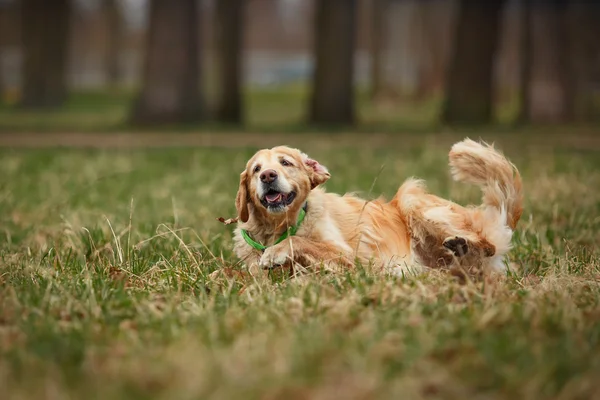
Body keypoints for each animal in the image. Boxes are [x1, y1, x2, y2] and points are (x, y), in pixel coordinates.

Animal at [232, 140, 524, 278]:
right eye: (256, 169)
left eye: (286, 163)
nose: (267, 176)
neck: (278, 227)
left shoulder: (350, 258)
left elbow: (300, 242)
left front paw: (275, 253)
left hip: (411, 199)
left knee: (488, 246)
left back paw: (464, 247)